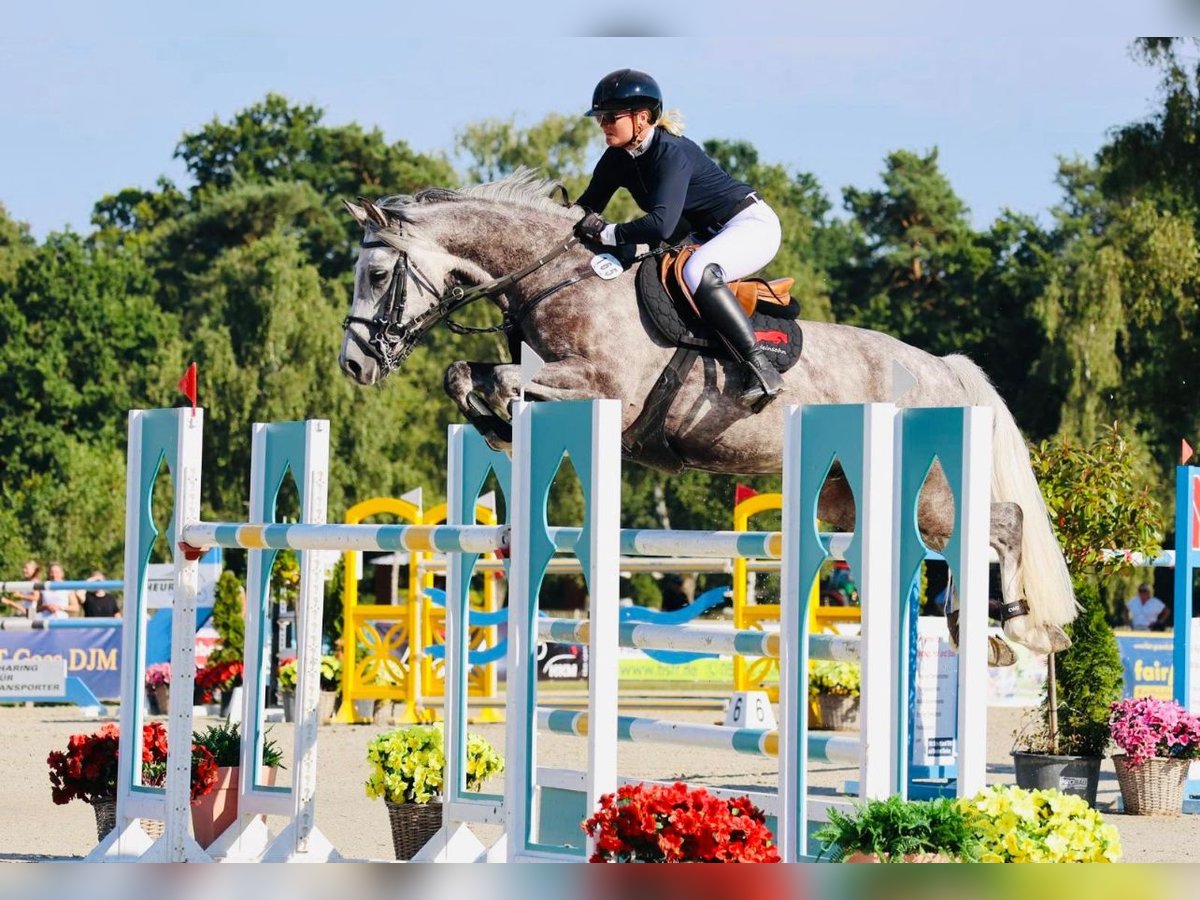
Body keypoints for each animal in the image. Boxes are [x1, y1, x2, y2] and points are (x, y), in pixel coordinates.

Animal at [340, 169, 1080, 657]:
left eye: (376, 276)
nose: (354, 367)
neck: (557, 281)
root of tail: (942, 368)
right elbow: (464, 375)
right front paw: (495, 426)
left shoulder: (603, 389)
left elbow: (511, 386)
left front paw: (500, 421)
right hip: (855, 499)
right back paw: (973, 628)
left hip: (928, 491)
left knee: (1002, 523)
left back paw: (1019, 626)